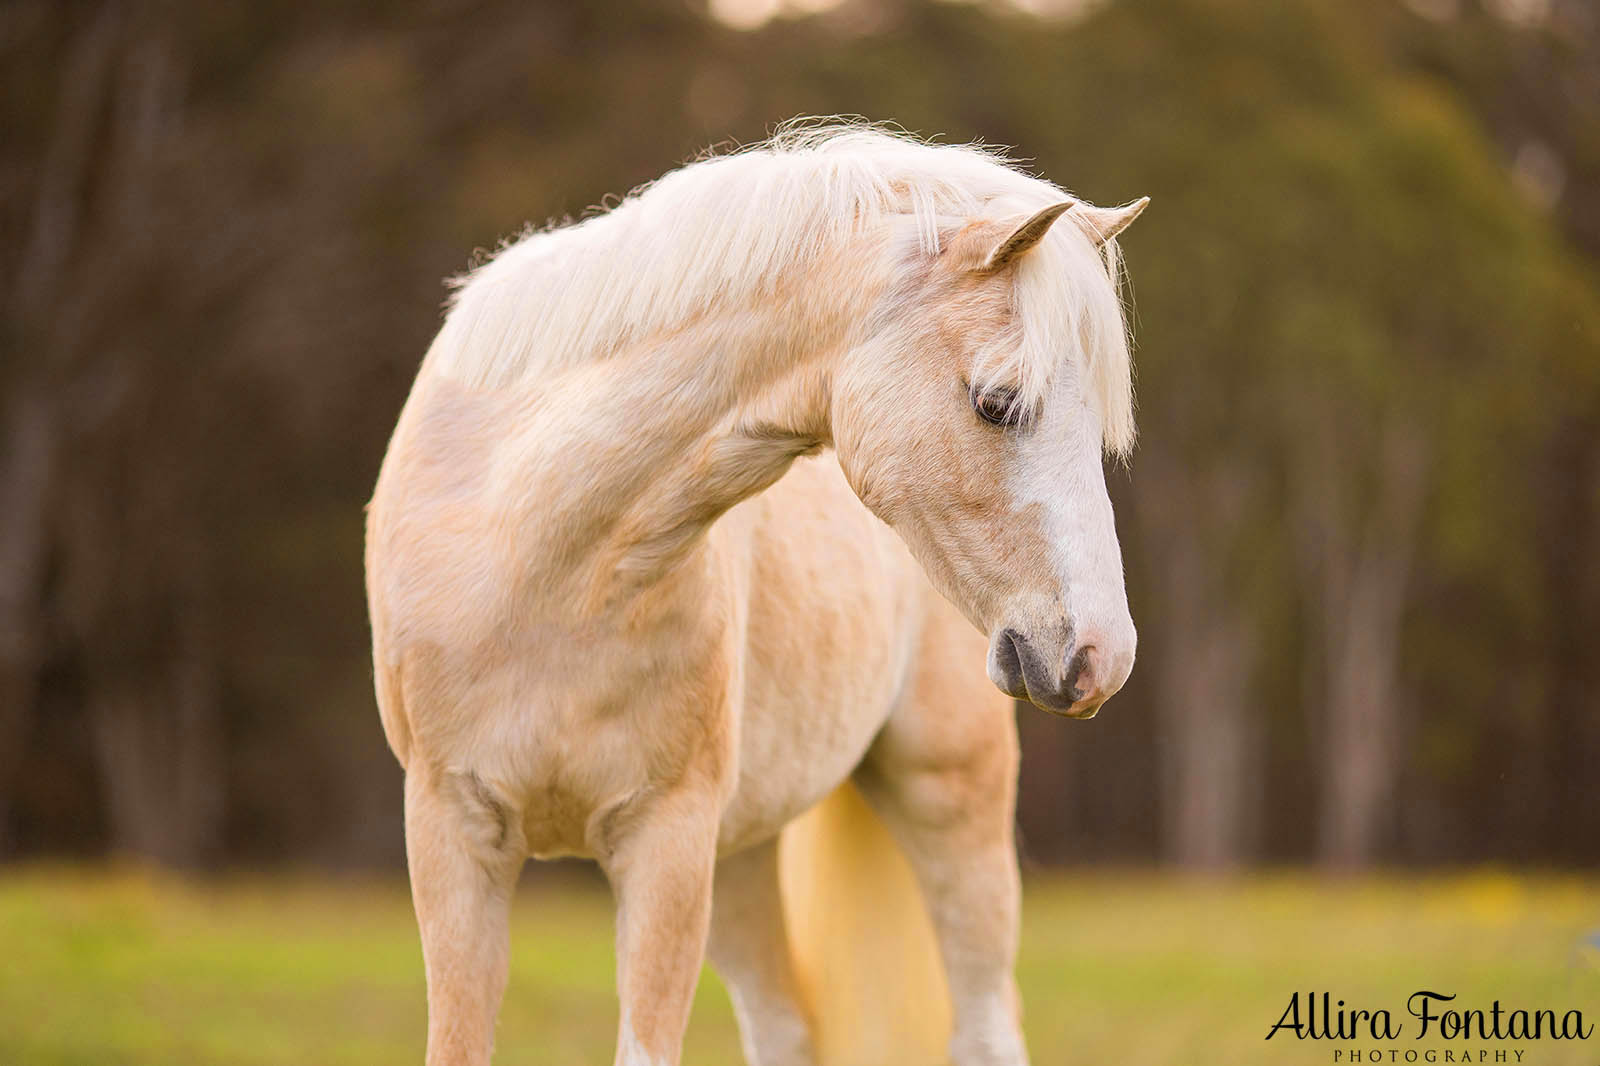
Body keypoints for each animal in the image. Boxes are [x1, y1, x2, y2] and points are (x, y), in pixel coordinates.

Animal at [368, 124, 1145, 1062]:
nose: (1101, 654)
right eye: (996, 403)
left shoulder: (665, 843)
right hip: (740, 856)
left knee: (984, 1025)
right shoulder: (452, 838)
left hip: (947, 801)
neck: (538, 561)